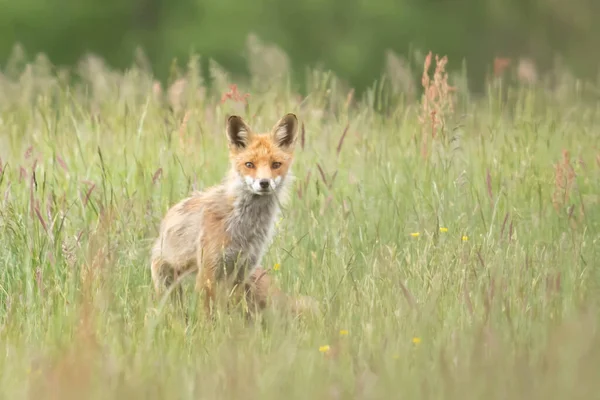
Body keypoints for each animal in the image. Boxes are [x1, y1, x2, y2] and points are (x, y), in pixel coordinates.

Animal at [150, 112, 300, 316]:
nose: (264, 183)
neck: (244, 227)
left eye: (276, 164)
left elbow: (233, 313)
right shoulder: (209, 271)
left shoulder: (242, 271)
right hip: (168, 282)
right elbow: (207, 316)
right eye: (249, 164)